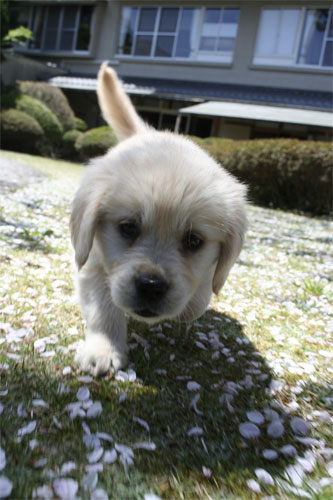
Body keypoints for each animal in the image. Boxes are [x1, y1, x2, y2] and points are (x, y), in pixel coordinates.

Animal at [70, 63, 246, 376]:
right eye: (128, 228)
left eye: (194, 241)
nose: (151, 286)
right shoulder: (92, 260)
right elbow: (103, 311)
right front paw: (103, 351)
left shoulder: (206, 274)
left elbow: (199, 298)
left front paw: (190, 306)